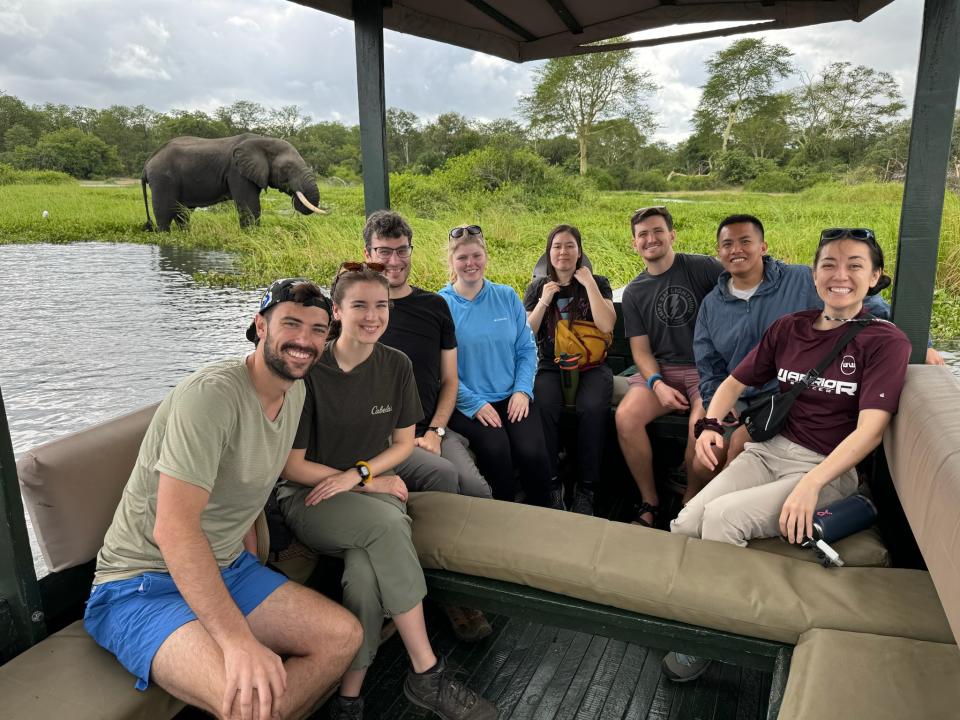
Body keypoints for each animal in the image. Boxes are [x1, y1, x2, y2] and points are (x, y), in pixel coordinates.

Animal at [140, 131, 326, 229]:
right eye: (287, 168)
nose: (296, 199)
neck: (263, 140)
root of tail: (148, 161)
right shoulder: (237, 172)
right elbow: (249, 206)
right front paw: (252, 235)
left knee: (182, 212)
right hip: (162, 178)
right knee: (165, 212)